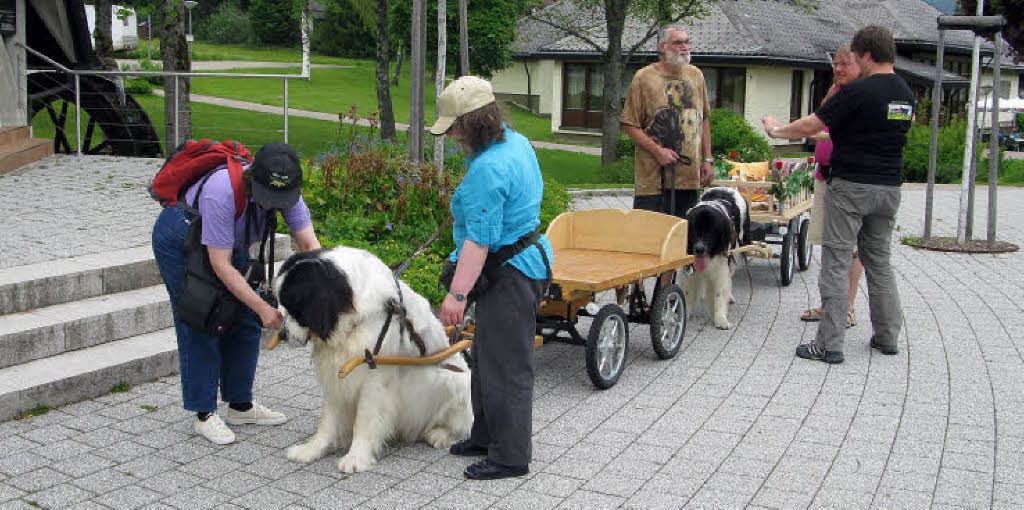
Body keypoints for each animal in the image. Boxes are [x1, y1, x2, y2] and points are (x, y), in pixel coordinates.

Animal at [684, 187, 749, 329]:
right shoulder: (690, 271)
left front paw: (721, 319)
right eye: (693, 230)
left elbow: (719, 292)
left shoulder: (721, 268)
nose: (699, 249)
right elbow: (687, 292)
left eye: (710, 233)